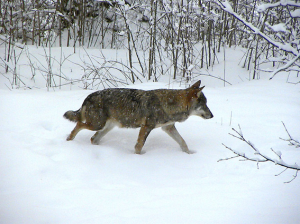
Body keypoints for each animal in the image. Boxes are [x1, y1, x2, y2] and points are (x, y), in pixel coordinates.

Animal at [63, 80, 213, 154]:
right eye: (204, 104)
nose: (212, 115)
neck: (169, 104)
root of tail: (88, 96)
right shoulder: (146, 127)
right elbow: (139, 146)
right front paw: (138, 158)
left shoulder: (168, 128)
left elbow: (183, 143)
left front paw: (189, 154)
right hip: (97, 125)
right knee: (78, 124)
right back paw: (69, 141)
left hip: (105, 127)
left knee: (93, 138)